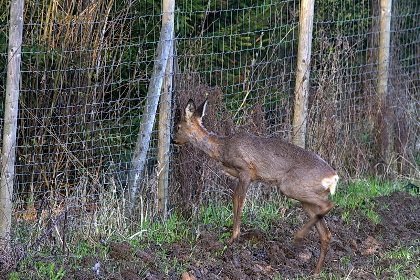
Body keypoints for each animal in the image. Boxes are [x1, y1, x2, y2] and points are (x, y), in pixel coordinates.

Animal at [174, 98, 338, 274]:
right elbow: (234, 199)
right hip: (306, 197)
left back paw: (299, 236)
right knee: (326, 232)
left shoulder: (246, 171)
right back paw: (315, 271)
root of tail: (333, 177)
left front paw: (233, 238)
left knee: (329, 205)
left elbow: (239, 201)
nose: (173, 140)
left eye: (178, 126)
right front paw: (233, 236)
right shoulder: (241, 176)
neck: (222, 148)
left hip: (291, 186)